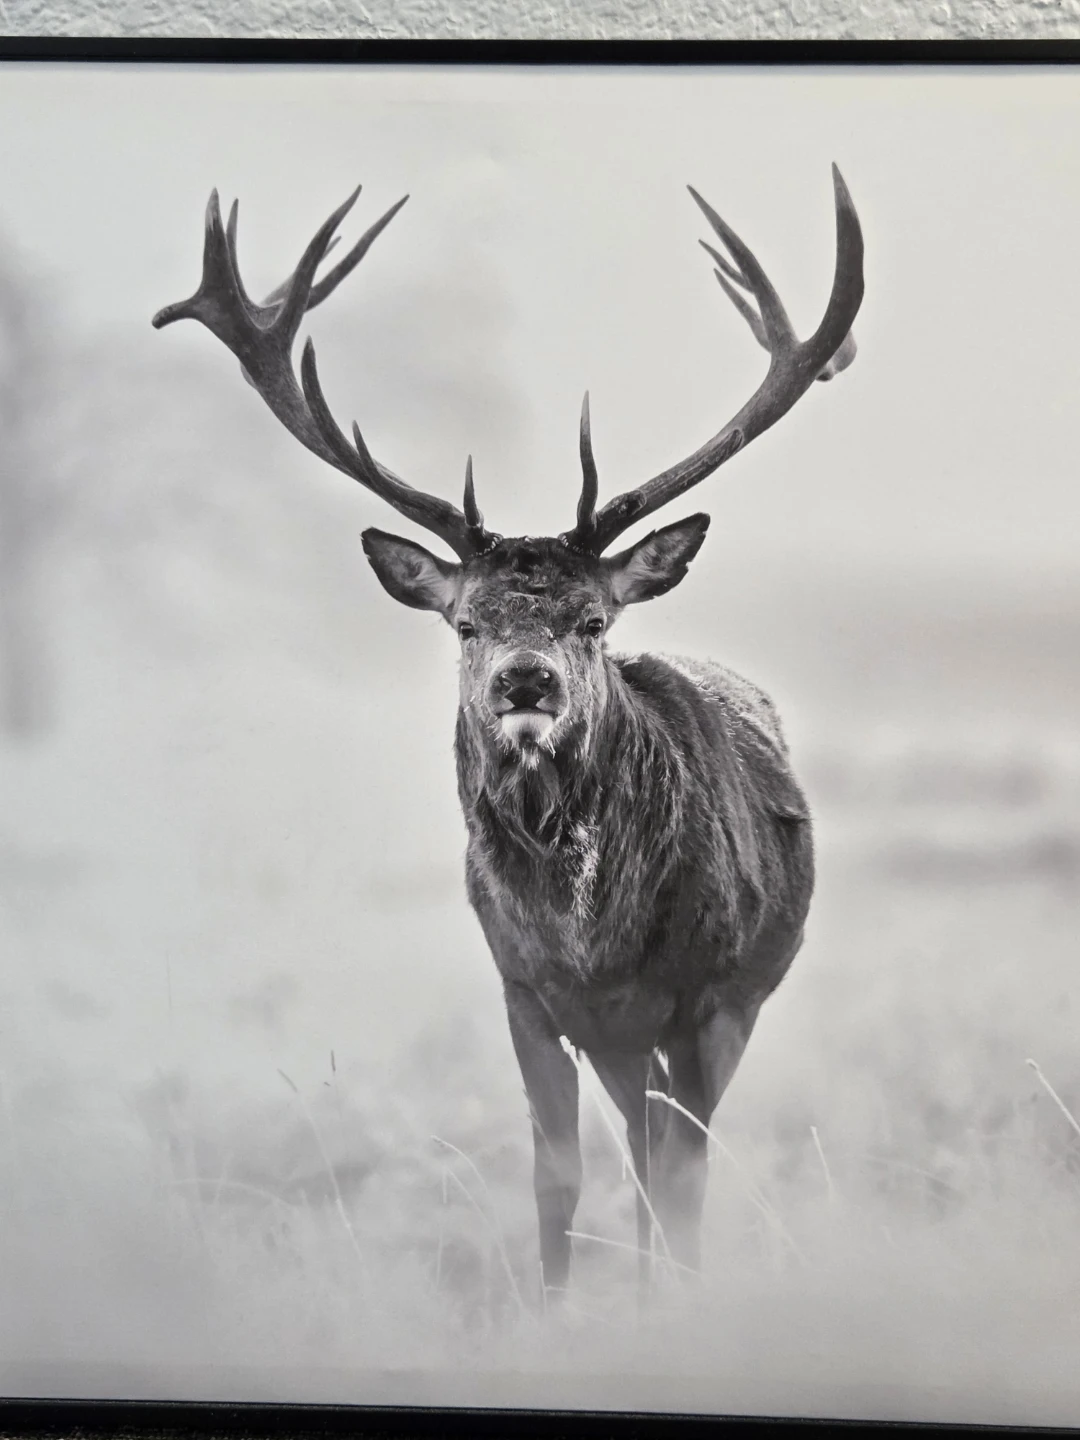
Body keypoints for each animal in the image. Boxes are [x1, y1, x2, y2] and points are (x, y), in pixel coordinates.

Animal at [153, 165, 864, 1300]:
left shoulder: (707, 996)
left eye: (594, 620)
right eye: (467, 622)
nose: (525, 681)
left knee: (669, 1159)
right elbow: (558, 1175)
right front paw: (556, 1310)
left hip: (732, 1000)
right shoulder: (525, 990)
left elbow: (684, 1178)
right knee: (636, 1148)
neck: (591, 940)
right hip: (618, 1041)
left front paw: (678, 1308)